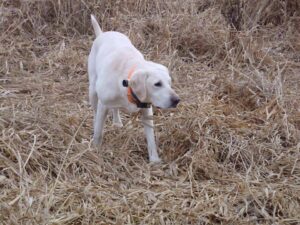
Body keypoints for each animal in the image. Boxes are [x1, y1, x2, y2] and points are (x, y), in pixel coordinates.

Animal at [88, 14, 179, 163]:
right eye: (157, 84)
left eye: (169, 83)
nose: (177, 100)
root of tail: (103, 34)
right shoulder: (103, 104)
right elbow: (99, 131)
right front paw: (96, 149)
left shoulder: (147, 111)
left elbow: (151, 139)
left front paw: (154, 160)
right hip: (93, 91)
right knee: (96, 112)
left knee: (115, 109)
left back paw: (117, 122)